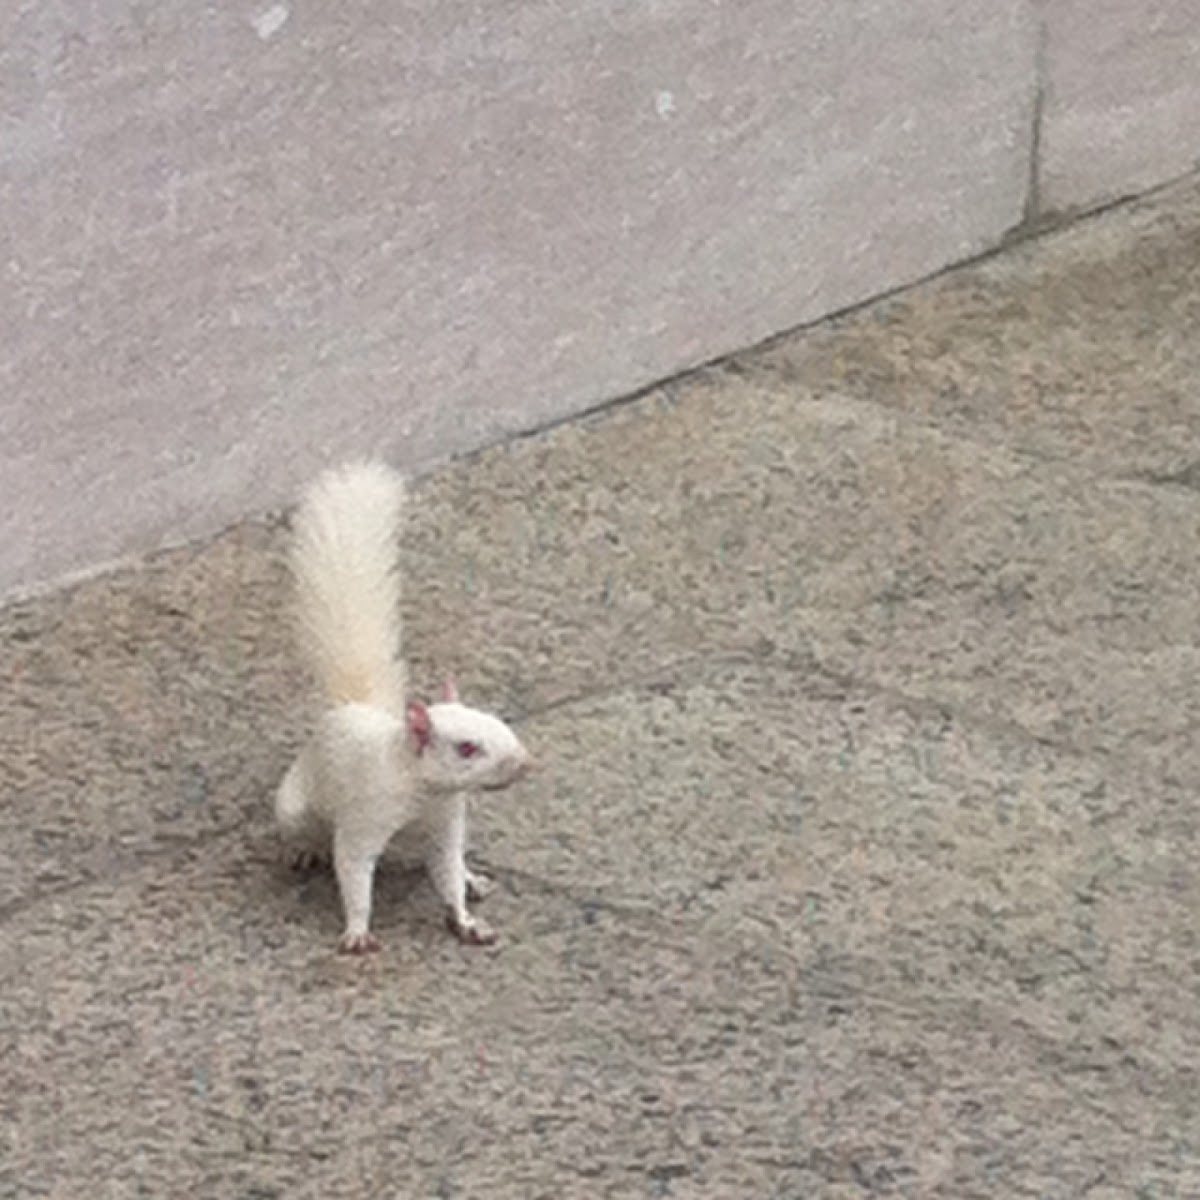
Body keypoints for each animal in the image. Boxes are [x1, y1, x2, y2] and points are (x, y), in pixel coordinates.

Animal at [276, 460, 535, 955]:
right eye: (466, 748)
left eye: (498, 722)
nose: (525, 763)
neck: (422, 792)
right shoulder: (364, 817)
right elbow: (354, 870)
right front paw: (357, 930)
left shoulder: (447, 824)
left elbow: (448, 872)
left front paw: (466, 918)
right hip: (293, 804)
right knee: (310, 828)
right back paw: (307, 847)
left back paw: (473, 878)